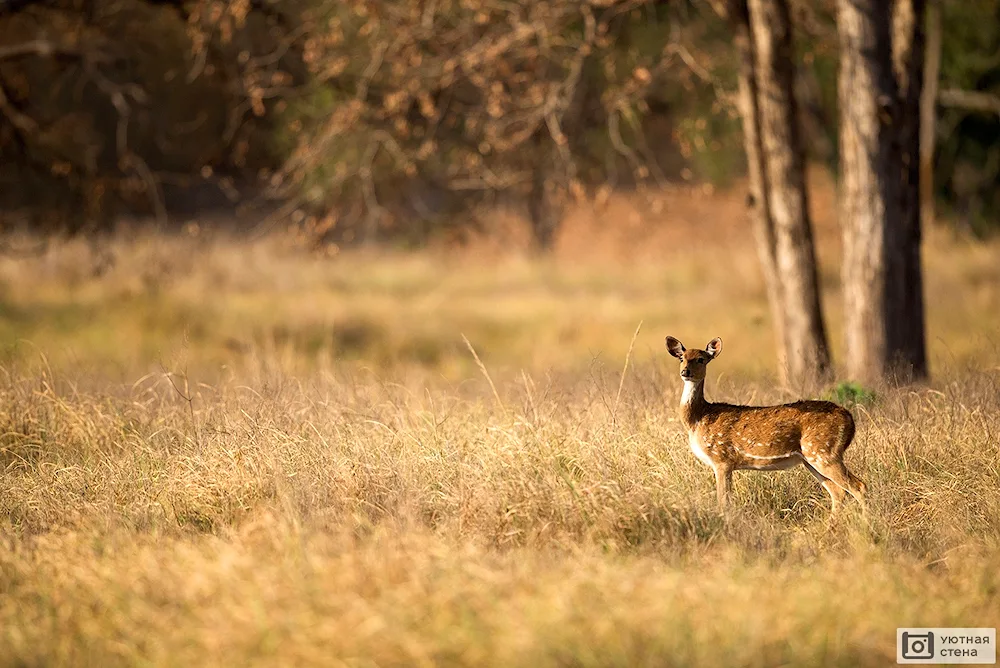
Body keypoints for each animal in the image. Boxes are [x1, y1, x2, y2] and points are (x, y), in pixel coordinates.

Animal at [664, 334, 868, 516]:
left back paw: (866, 525)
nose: (685, 372)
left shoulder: (722, 459)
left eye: (701, 359)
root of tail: (850, 419)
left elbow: (723, 502)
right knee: (838, 492)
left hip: (823, 451)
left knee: (859, 486)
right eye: (681, 358)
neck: (698, 419)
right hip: (811, 458)